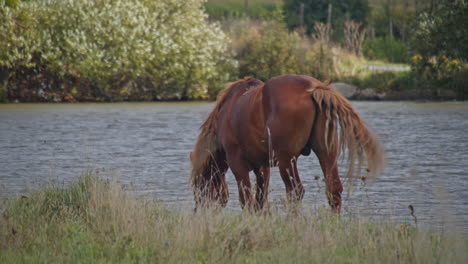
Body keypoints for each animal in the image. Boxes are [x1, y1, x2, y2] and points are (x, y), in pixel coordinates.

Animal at [190, 74, 384, 212]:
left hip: (286, 160)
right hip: (326, 153)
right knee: (333, 190)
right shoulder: (263, 166)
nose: (199, 212)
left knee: (295, 192)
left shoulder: (238, 163)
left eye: (198, 186)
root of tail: (313, 88)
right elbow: (260, 201)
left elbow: (247, 201)